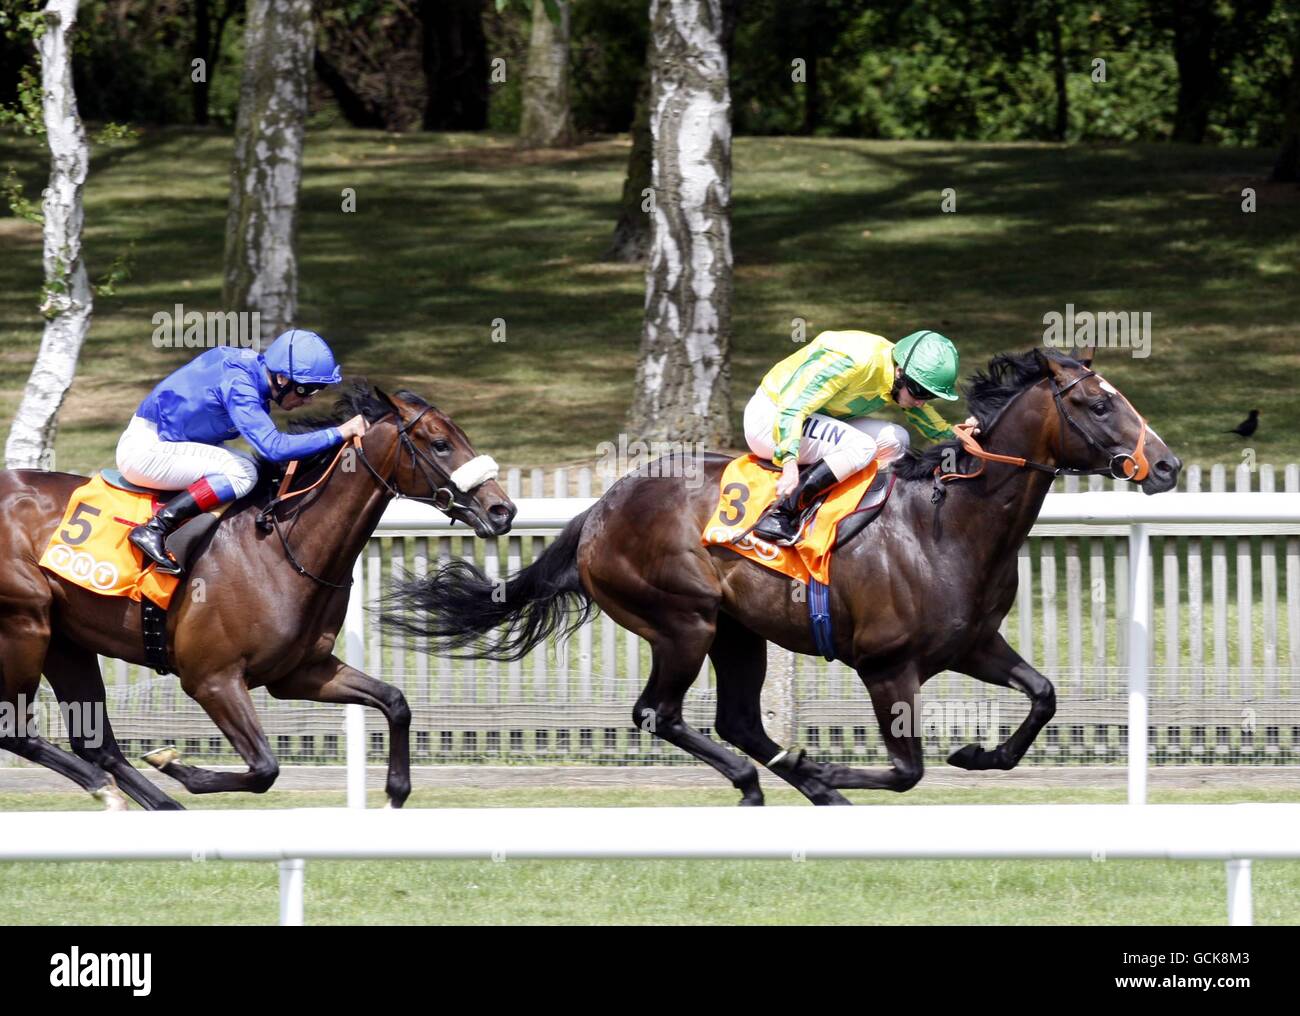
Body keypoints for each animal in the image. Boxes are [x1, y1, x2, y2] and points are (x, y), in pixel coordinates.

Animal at [0, 383, 515, 809]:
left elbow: (395, 701)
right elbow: (266, 767)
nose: (502, 509)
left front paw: (396, 790)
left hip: (67, 641)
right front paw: (174, 764)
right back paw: (113, 793)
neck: (282, 545)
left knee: (97, 745)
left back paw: (156, 805)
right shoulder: (212, 679)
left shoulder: (300, 672)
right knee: (16, 730)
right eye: (440, 443)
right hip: (25, 625)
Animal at [380, 349, 1181, 805]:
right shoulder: (887, 666)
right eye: (1099, 403)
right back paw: (772, 783)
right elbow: (908, 770)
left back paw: (799, 783)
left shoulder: (974, 644)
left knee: (738, 719)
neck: (948, 522)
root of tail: (601, 508)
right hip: (684, 620)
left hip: (739, 632)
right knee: (658, 712)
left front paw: (980, 753)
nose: (1168, 465)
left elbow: (1044, 695)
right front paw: (833, 773)